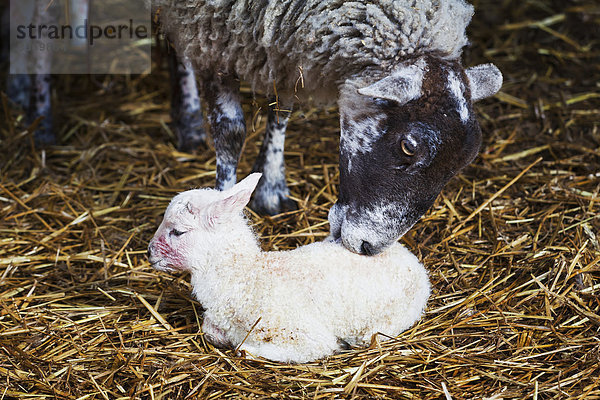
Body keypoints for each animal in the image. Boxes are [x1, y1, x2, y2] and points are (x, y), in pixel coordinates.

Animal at [149, 173, 432, 362]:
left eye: (178, 231)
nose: (149, 253)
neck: (247, 278)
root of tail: (414, 261)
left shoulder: (305, 335)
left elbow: (246, 349)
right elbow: (210, 331)